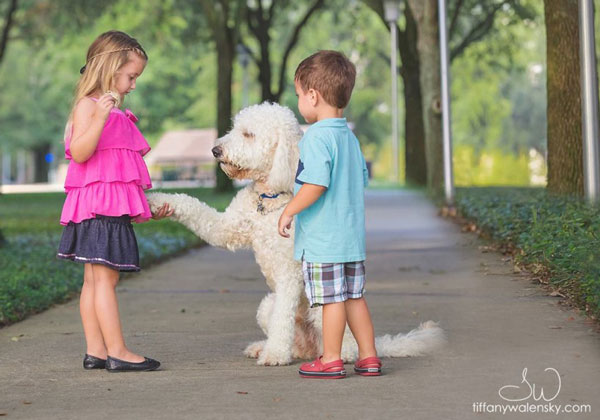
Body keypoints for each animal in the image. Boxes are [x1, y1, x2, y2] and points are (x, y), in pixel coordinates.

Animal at [147, 101, 442, 364]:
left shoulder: (289, 273)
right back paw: (265, 347)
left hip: (321, 307)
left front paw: (275, 356)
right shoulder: (225, 228)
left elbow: (283, 318)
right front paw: (157, 201)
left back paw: (340, 354)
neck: (268, 199)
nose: (215, 150)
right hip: (266, 305)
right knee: (296, 341)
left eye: (248, 134)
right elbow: (193, 207)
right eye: (234, 128)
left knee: (339, 334)